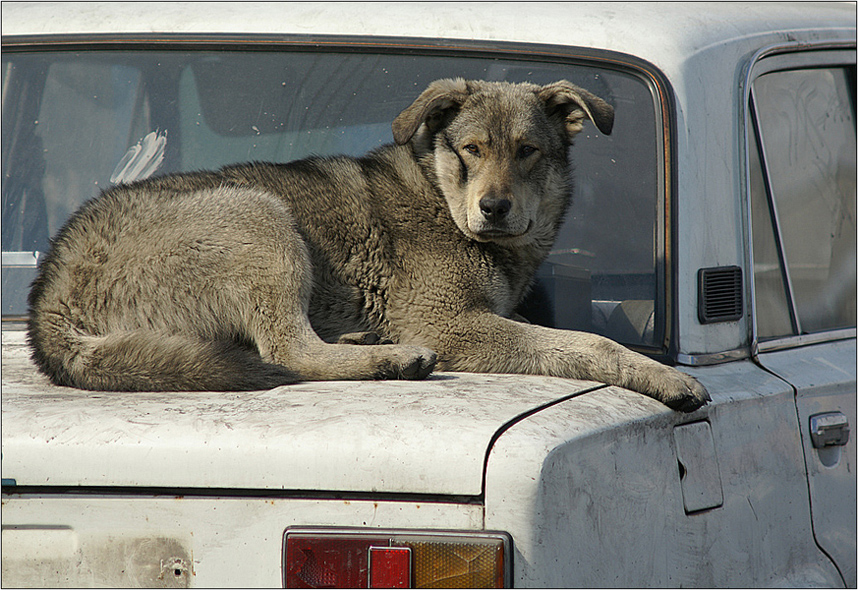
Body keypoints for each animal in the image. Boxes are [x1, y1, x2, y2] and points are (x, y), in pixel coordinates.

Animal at [26, 77, 708, 412]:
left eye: (527, 151)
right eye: (471, 149)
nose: (493, 208)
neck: (443, 195)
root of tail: (49, 298)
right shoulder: (449, 323)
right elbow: (591, 342)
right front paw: (663, 378)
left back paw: (368, 343)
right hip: (262, 217)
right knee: (287, 350)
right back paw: (393, 360)